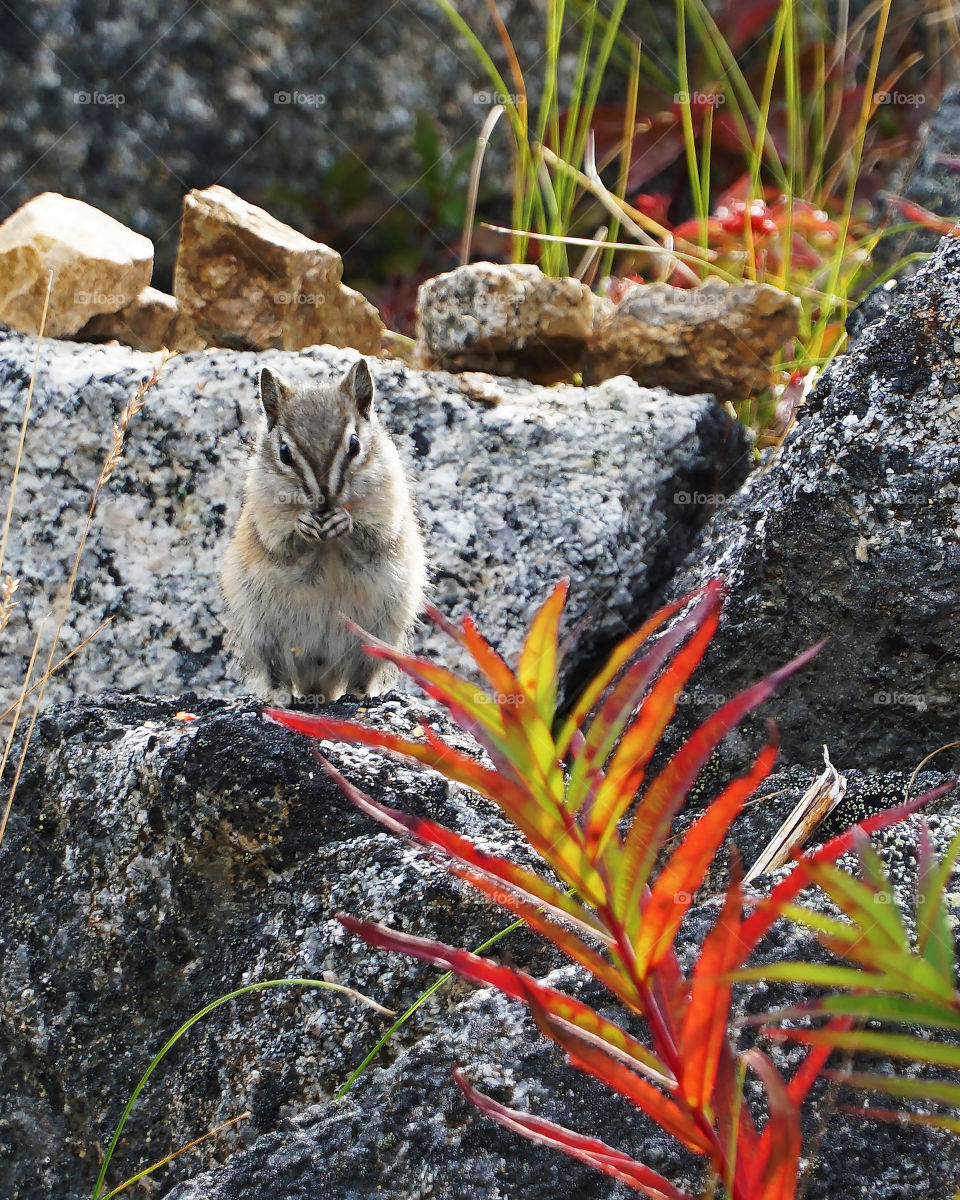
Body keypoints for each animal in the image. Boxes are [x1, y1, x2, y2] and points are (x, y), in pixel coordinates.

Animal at [221, 358, 427, 702]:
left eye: (355, 445)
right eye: (285, 453)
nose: (323, 499)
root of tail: (319, 684)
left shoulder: (388, 511)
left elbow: (373, 538)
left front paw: (344, 522)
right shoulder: (264, 516)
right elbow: (281, 543)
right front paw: (303, 524)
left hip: (379, 637)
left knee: (360, 674)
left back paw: (358, 695)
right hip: (261, 634)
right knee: (277, 673)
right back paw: (281, 696)